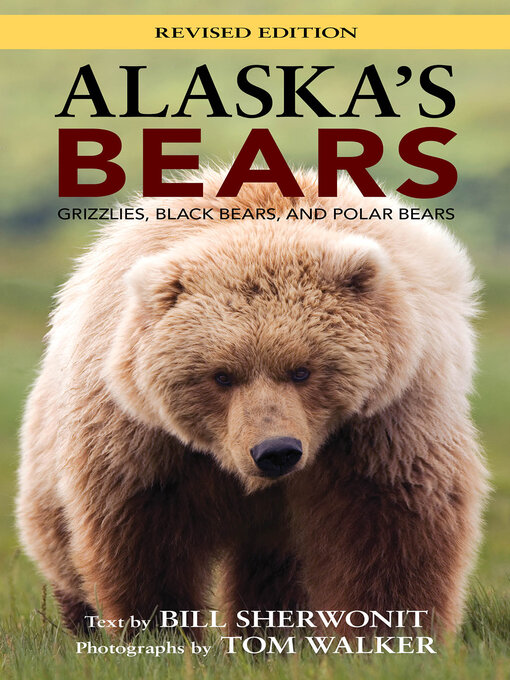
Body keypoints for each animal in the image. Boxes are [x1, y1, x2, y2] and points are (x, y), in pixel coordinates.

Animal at [17, 168, 488, 640]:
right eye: (221, 375)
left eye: (302, 370)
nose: (275, 450)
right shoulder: (147, 437)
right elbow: (142, 535)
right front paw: (159, 631)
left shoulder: (386, 417)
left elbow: (390, 522)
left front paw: (388, 633)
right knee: (56, 542)